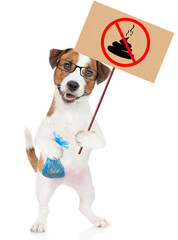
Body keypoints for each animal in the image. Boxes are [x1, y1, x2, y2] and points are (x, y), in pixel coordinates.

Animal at [24, 48, 110, 232]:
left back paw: (96, 219)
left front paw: (82, 137)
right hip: (43, 186)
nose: (73, 84)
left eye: (89, 72)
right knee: (44, 207)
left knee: (84, 206)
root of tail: (65, 180)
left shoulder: (99, 134)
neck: (70, 111)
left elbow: (98, 140)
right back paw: (39, 223)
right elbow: (42, 140)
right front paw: (55, 149)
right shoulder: (41, 132)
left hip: (88, 188)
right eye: (67, 65)